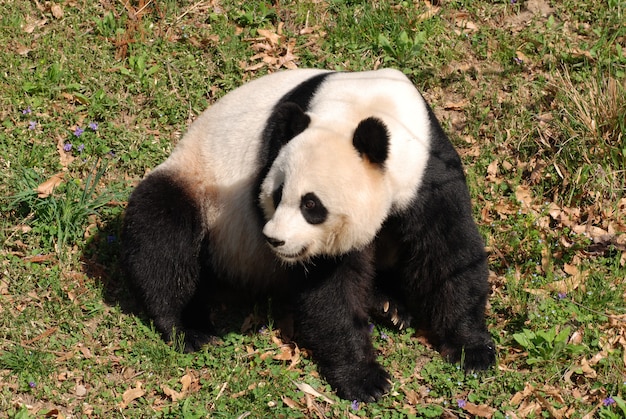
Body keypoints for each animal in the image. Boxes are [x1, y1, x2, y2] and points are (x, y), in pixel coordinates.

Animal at [120, 69, 492, 404]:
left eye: (311, 205)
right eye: (276, 194)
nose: (274, 240)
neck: (365, 108)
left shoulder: (430, 169)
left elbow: (448, 252)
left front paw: (472, 350)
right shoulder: (276, 150)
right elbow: (327, 286)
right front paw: (365, 379)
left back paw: (390, 306)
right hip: (199, 185)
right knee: (162, 232)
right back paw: (188, 328)